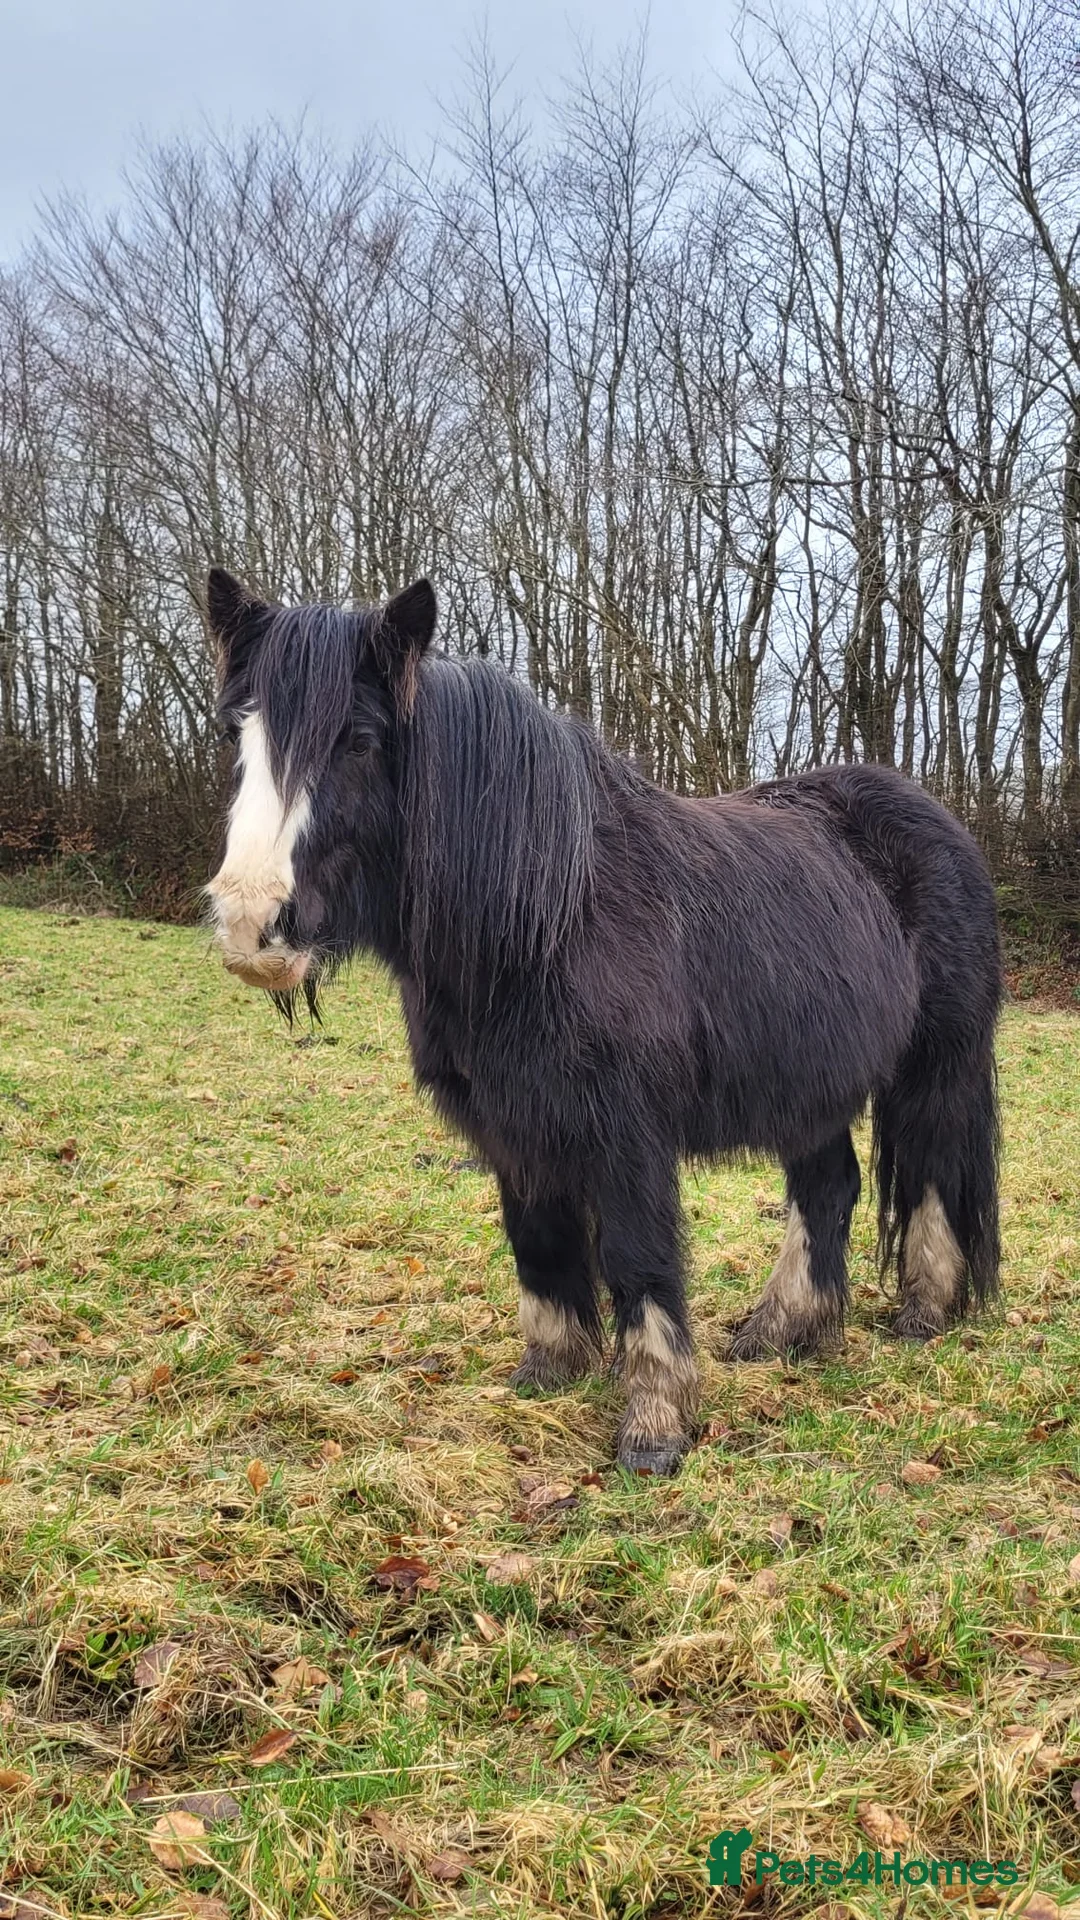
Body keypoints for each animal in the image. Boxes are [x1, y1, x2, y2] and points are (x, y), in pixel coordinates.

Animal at [205, 567, 1003, 1475]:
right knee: (828, 1189)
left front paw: (655, 1428)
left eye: (359, 740)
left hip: (937, 1065)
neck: (549, 914)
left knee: (933, 1173)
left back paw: (922, 1316)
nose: (250, 923)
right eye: (237, 732)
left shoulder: (627, 1132)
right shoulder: (514, 1124)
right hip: (810, 1085)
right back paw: (782, 1332)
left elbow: (637, 1257)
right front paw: (549, 1373)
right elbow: (540, 1246)